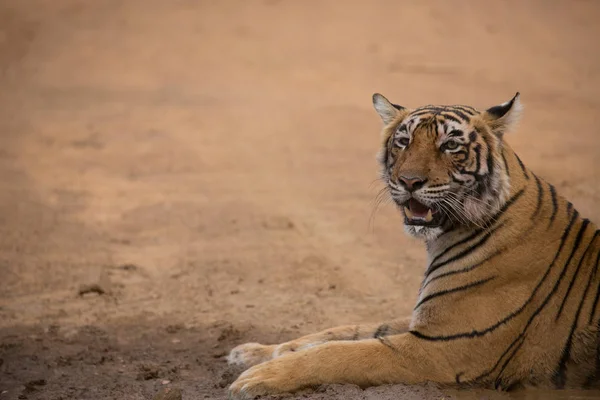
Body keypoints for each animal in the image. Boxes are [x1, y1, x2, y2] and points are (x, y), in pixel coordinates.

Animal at [226, 92, 600, 398]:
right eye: (403, 142)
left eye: (450, 146)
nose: (409, 182)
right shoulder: (427, 323)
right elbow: (341, 331)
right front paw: (251, 352)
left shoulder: (441, 347)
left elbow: (340, 352)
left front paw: (256, 377)